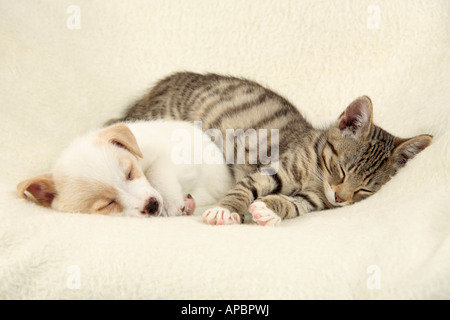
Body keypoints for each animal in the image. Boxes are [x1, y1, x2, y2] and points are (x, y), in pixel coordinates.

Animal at [16, 120, 236, 218]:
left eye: (130, 173)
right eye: (107, 204)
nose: (152, 205)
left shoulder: (168, 155)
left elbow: (158, 172)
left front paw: (172, 201)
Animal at [108, 72, 432, 228]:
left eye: (364, 190)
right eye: (341, 170)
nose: (341, 198)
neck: (316, 168)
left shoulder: (316, 200)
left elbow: (295, 205)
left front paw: (270, 210)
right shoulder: (274, 169)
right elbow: (244, 188)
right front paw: (227, 210)